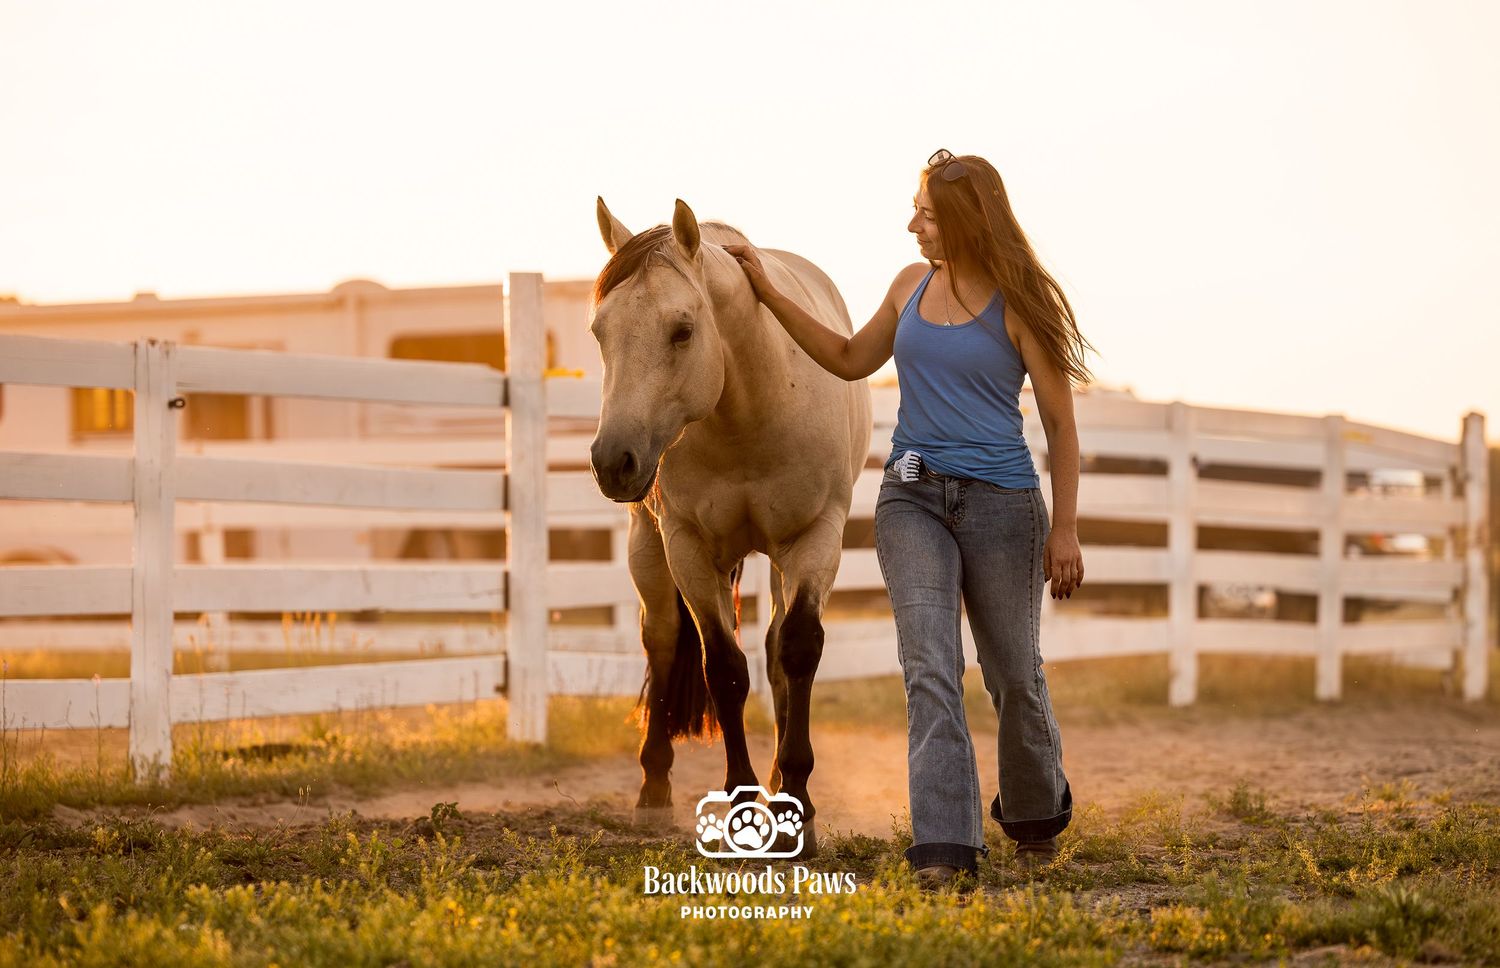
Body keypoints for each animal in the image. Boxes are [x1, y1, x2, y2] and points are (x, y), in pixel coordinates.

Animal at [588, 197, 872, 858]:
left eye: (682, 330)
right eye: (599, 332)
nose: (613, 461)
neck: (749, 409)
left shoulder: (816, 538)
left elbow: (797, 651)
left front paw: (797, 805)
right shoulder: (688, 547)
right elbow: (722, 668)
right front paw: (743, 803)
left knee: (775, 651)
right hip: (648, 545)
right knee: (664, 640)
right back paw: (654, 789)